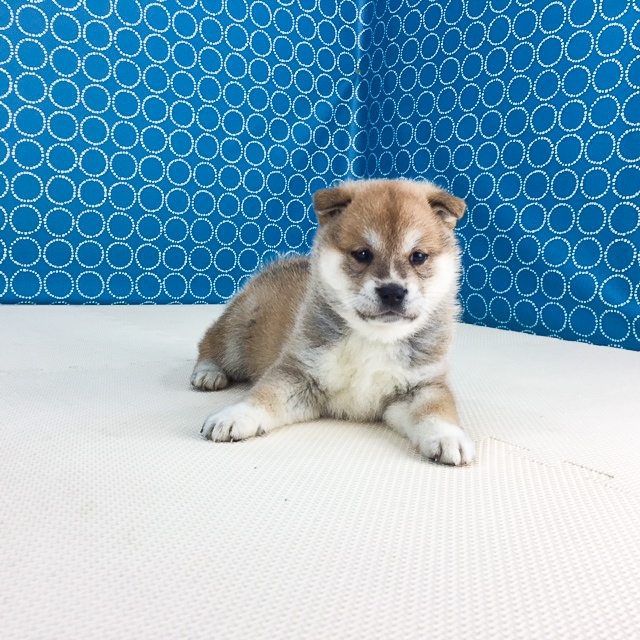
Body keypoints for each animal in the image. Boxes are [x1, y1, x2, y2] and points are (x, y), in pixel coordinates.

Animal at [191, 178, 475, 465]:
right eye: (362, 254)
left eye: (418, 257)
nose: (392, 292)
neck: (375, 338)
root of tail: (275, 267)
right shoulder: (299, 374)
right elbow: (263, 397)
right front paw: (234, 416)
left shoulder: (422, 385)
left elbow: (436, 410)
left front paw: (448, 436)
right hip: (237, 335)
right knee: (209, 344)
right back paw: (208, 373)